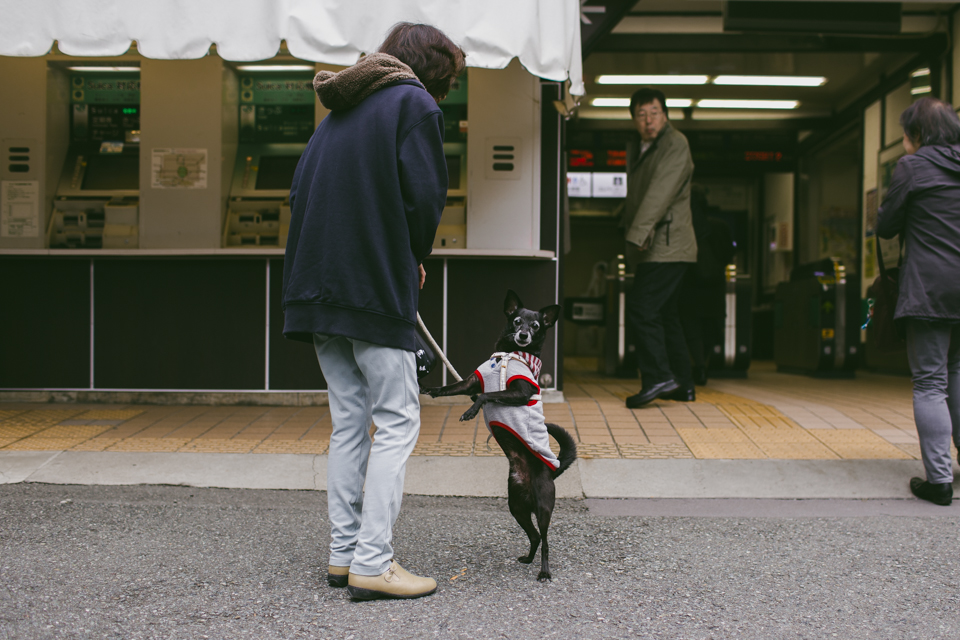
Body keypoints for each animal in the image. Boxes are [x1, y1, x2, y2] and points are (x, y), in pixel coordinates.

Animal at [422, 292, 572, 584]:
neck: (508, 353)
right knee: (534, 536)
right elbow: (449, 389)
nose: (523, 335)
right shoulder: (470, 381)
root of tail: (552, 471)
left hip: (543, 506)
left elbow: (486, 395)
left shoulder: (521, 391)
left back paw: (544, 571)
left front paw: (471, 411)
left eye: (536, 326)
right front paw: (429, 388)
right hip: (516, 507)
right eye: (516, 321)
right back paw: (528, 558)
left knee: (546, 540)